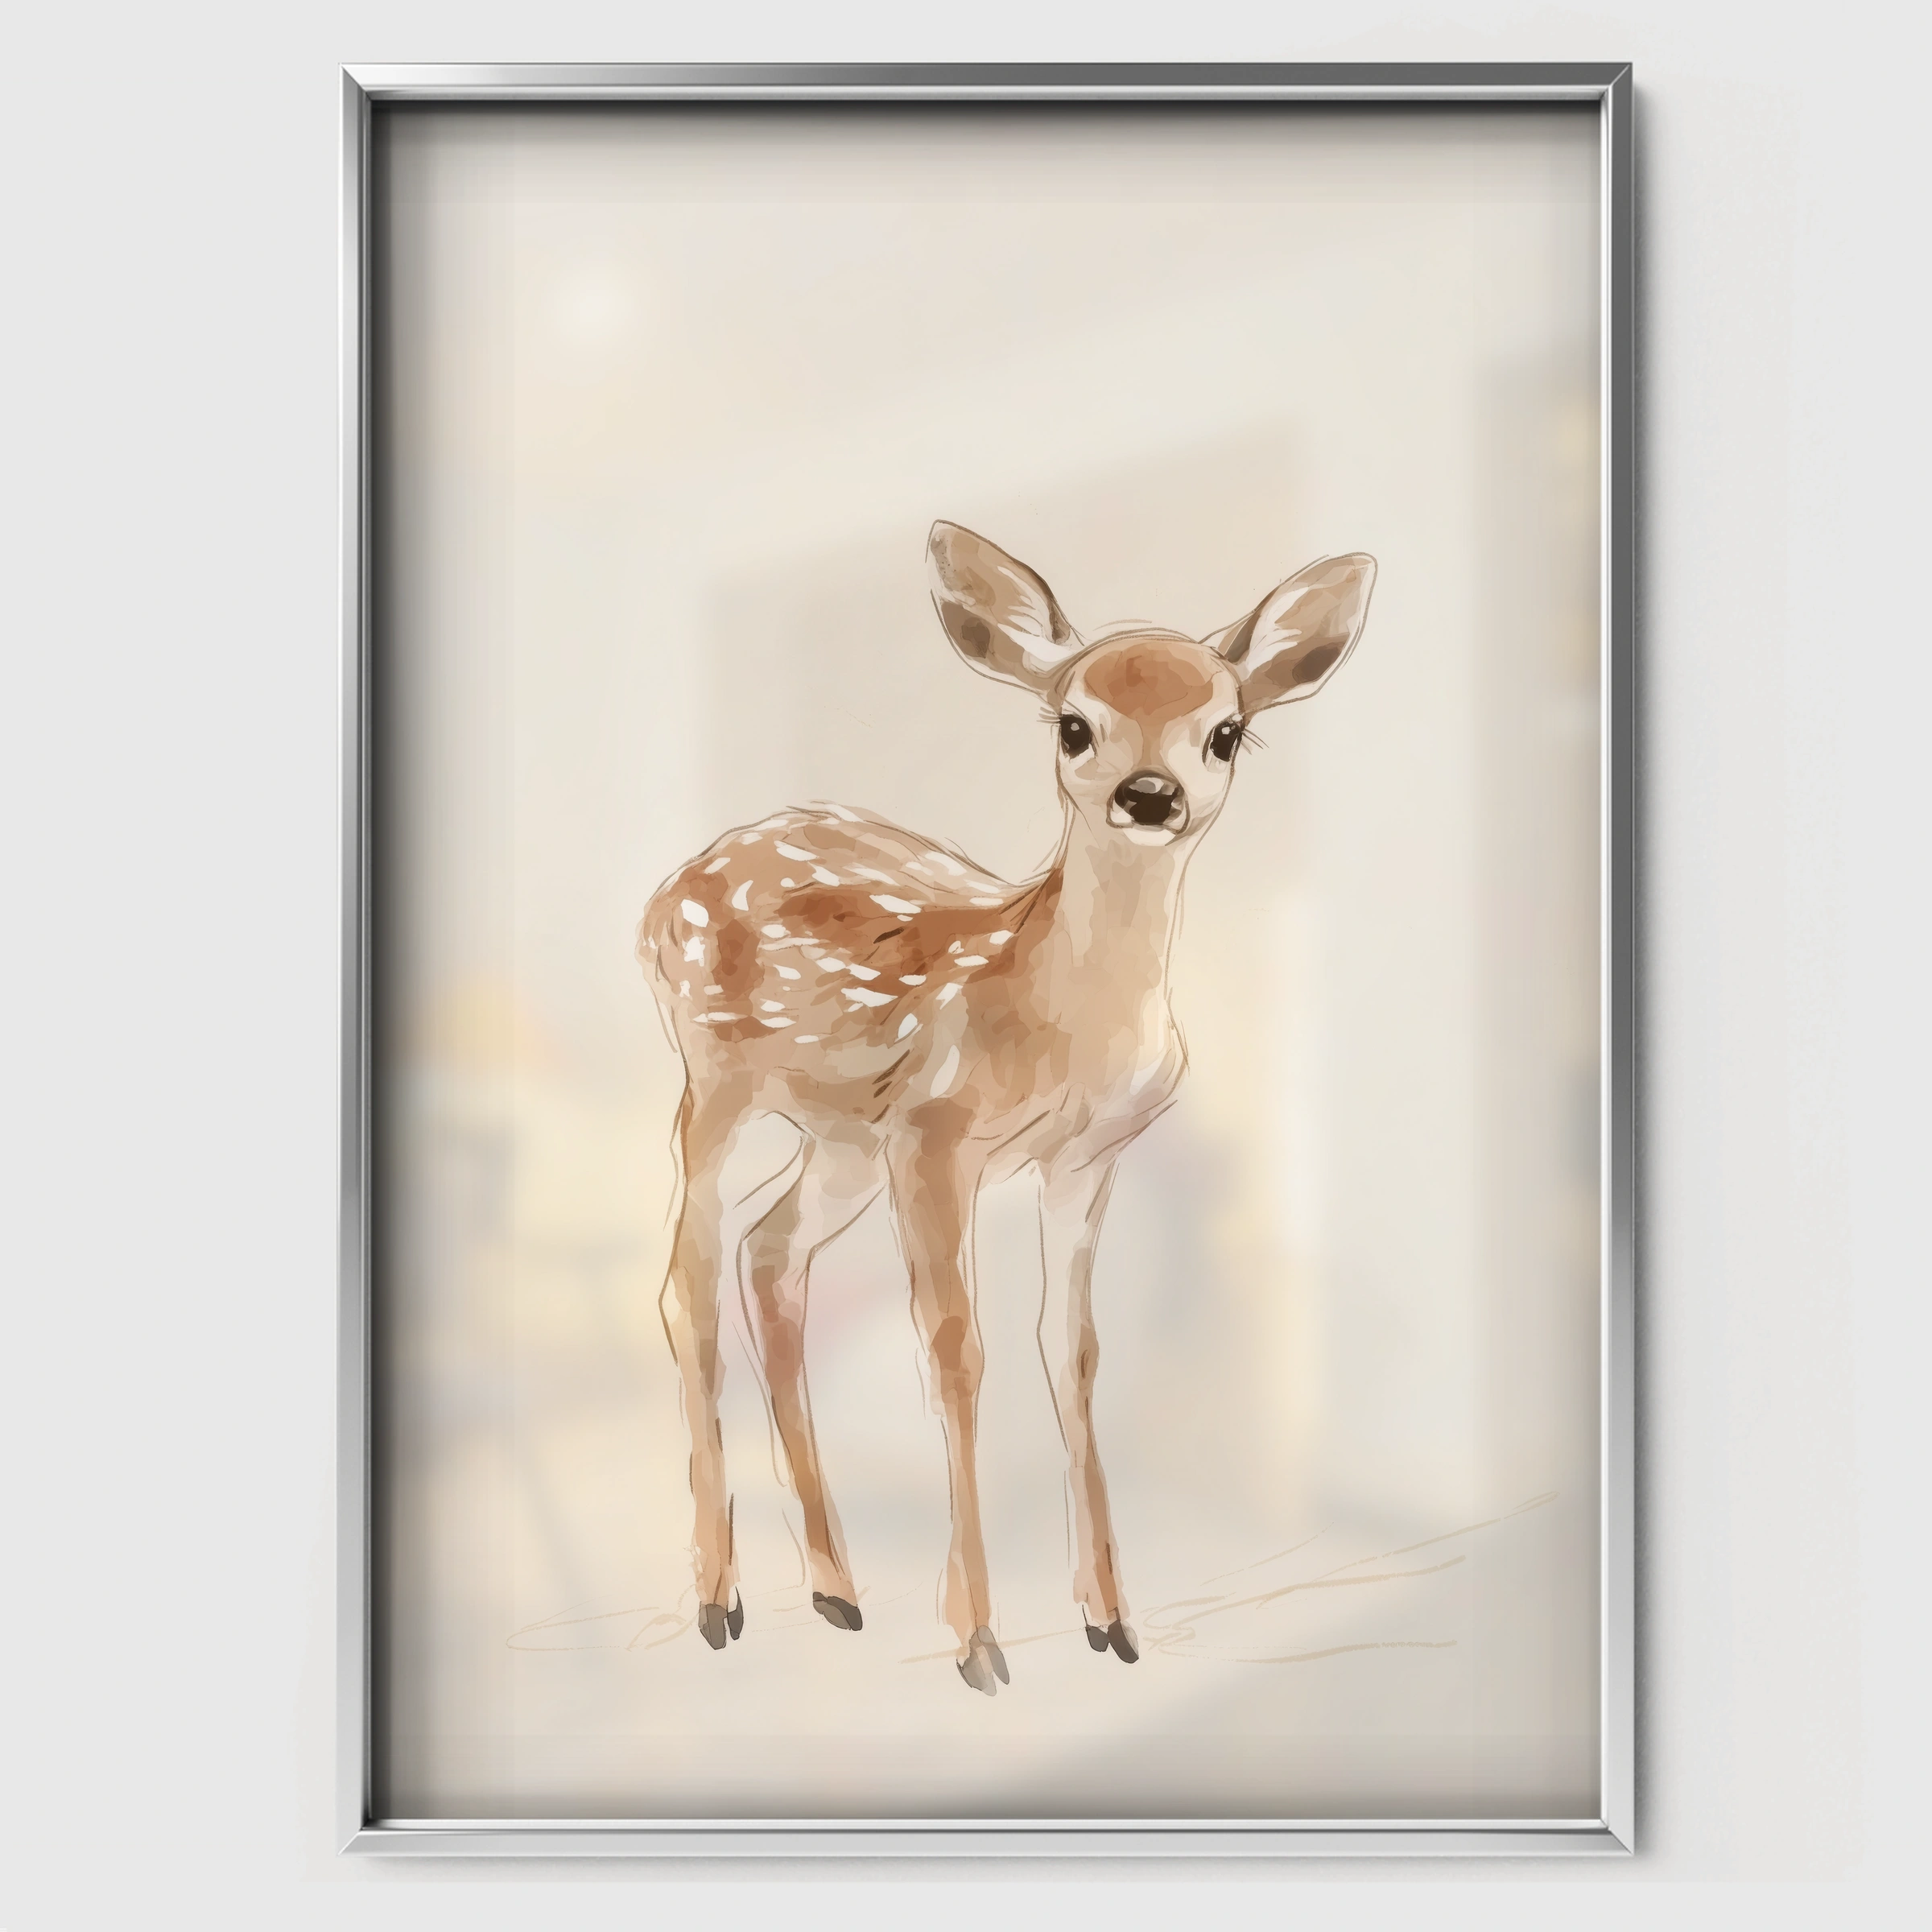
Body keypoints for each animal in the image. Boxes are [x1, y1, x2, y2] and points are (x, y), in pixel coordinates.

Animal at [637, 523, 1374, 1694]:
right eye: (1076, 725)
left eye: (1226, 732)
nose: (1150, 794)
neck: (1054, 1015)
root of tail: (668, 889)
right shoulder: (938, 1138)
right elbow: (956, 1351)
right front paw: (980, 1644)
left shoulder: (1083, 1160)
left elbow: (1072, 1354)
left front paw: (1112, 1623)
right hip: (715, 1077)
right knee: (685, 1279)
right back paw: (721, 1599)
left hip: (841, 1136)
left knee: (770, 1254)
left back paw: (837, 1589)